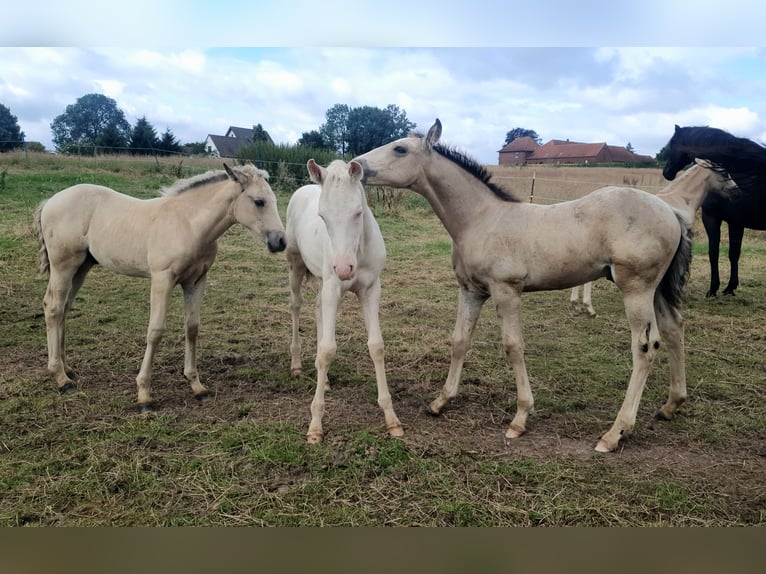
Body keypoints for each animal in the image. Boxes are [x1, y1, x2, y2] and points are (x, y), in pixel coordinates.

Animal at [35, 164, 288, 412]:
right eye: (259, 201)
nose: (281, 241)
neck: (188, 224)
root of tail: (51, 200)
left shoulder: (196, 281)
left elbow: (192, 328)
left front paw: (196, 385)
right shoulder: (162, 279)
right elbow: (155, 331)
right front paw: (144, 395)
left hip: (82, 267)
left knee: (64, 308)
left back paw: (67, 369)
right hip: (63, 265)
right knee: (53, 308)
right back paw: (61, 378)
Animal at [286, 160, 404, 444]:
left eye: (358, 212)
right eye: (323, 216)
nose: (343, 268)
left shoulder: (371, 289)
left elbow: (376, 346)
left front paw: (391, 418)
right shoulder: (333, 287)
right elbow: (327, 350)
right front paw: (315, 426)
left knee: (317, 311)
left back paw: (325, 379)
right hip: (297, 266)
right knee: (296, 305)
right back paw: (296, 365)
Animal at [354, 120, 696, 454]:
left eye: (400, 149)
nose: (357, 165)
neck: (481, 219)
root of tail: (671, 211)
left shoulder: (507, 290)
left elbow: (513, 346)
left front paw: (519, 418)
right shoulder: (471, 290)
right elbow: (460, 341)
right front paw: (440, 402)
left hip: (636, 288)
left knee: (645, 348)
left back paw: (615, 433)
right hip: (657, 289)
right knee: (673, 328)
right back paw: (671, 405)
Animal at [660, 125, 766, 296]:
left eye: (672, 144)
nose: (666, 172)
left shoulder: (712, 218)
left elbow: (714, 252)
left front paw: (714, 288)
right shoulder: (735, 223)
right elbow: (734, 254)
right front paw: (730, 287)